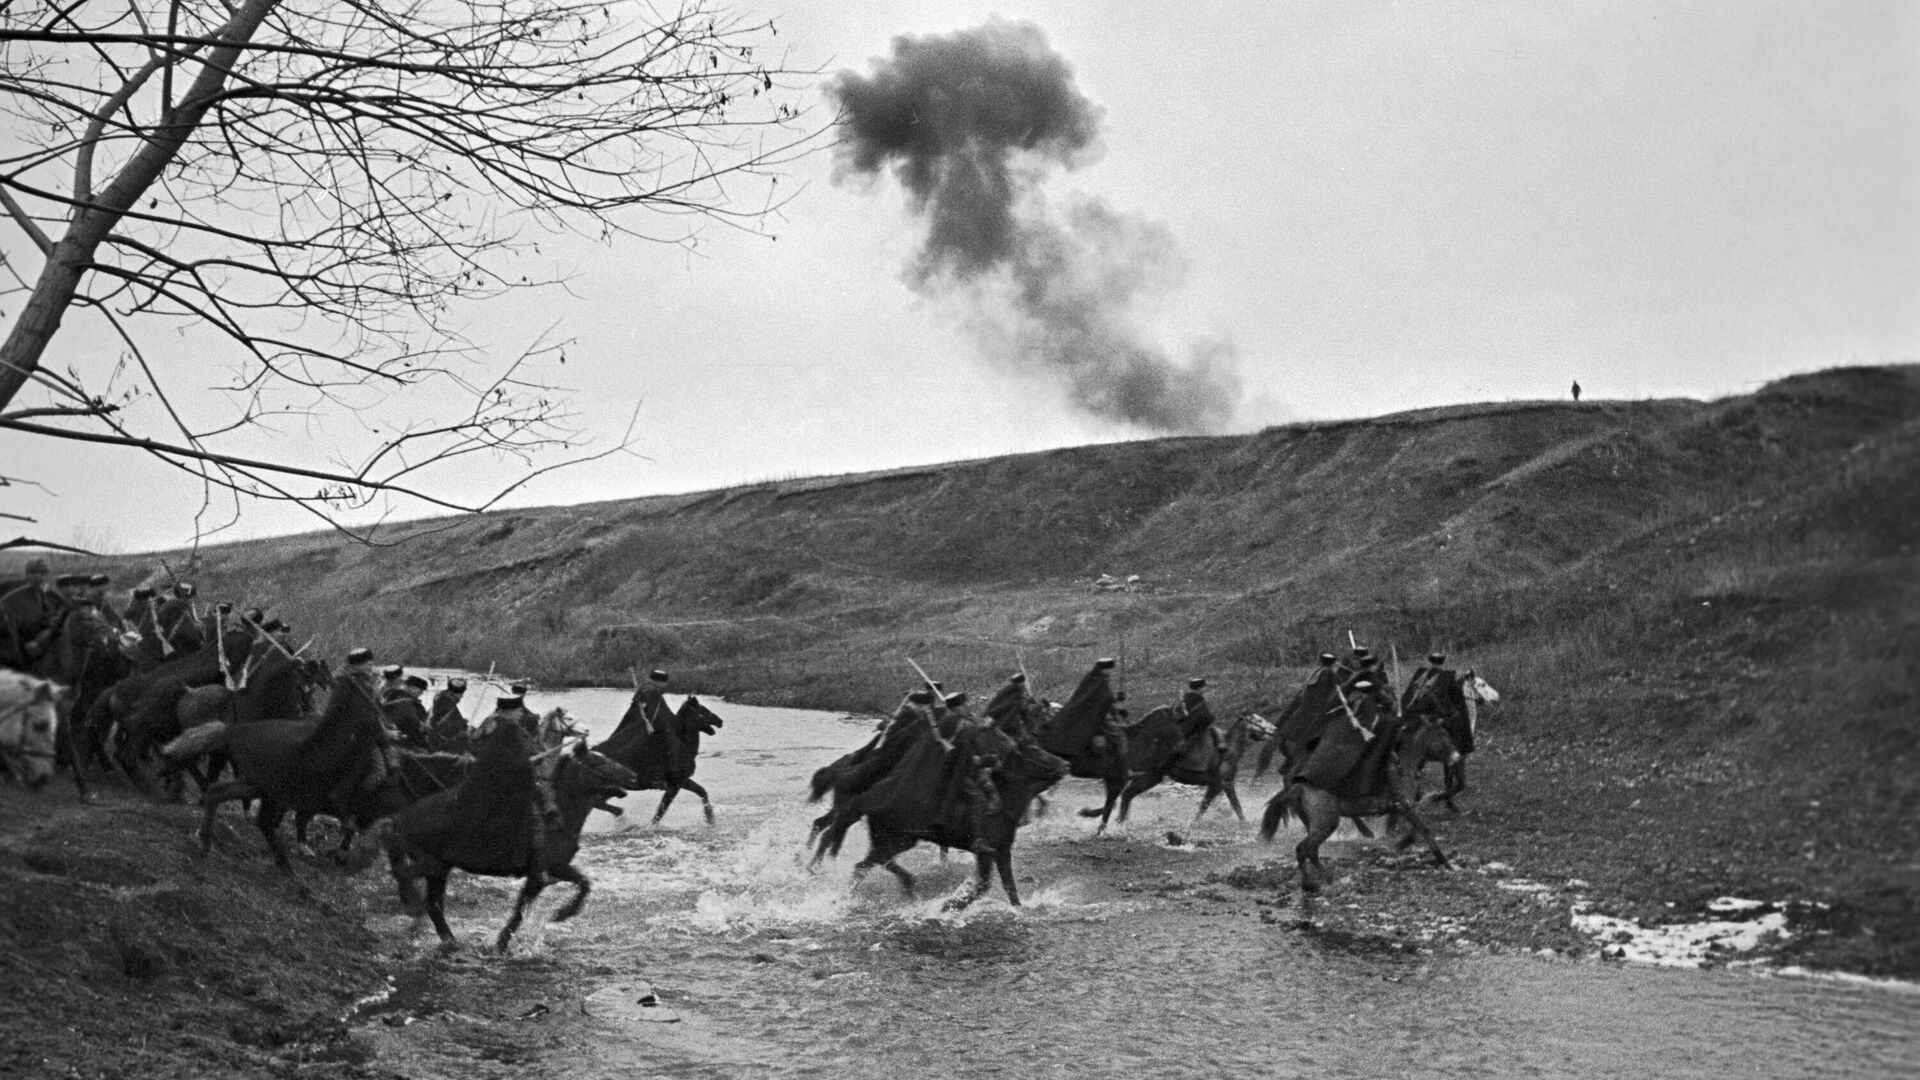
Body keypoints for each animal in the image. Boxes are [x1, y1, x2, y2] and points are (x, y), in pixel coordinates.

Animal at [382, 734, 637, 945]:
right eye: (598, 762)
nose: (633, 776)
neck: (558, 814)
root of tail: (399, 819)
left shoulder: (557, 868)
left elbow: (584, 883)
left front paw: (563, 913)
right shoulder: (538, 876)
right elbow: (519, 912)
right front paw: (502, 944)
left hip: (439, 869)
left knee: (433, 905)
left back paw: (447, 939)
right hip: (433, 864)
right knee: (405, 876)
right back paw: (414, 907)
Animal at [587, 691, 721, 818]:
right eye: (703, 709)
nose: (720, 721)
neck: (684, 746)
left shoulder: (681, 781)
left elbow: (701, 791)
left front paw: (710, 820)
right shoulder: (676, 783)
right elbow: (661, 810)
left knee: (599, 804)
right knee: (596, 804)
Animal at [1251, 711, 1459, 895]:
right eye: (1442, 735)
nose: (1456, 757)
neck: (1403, 763)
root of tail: (1298, 786)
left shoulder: (1403, 806)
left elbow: (1421, 821)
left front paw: (1404, 842)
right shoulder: (1402, 805)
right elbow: (1425, 829)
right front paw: (1446, 862)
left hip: (1316, 824)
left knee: (1311, 850)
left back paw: (1325, 879)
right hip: (1326, 824)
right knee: (1304, 849)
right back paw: (1312, 884)